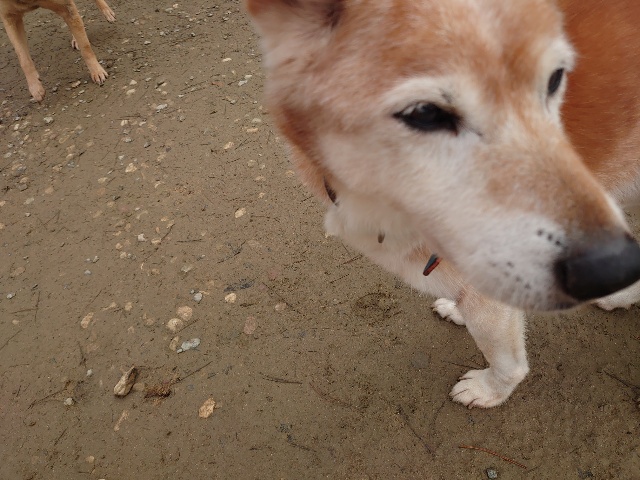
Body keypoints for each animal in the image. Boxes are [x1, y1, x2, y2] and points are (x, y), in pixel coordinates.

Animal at [246, 0, 640, 408]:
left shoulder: (491, 301)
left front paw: (487, 391)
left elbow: (508, 363)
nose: (614, 267)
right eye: (425, 113)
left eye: (554, 79)